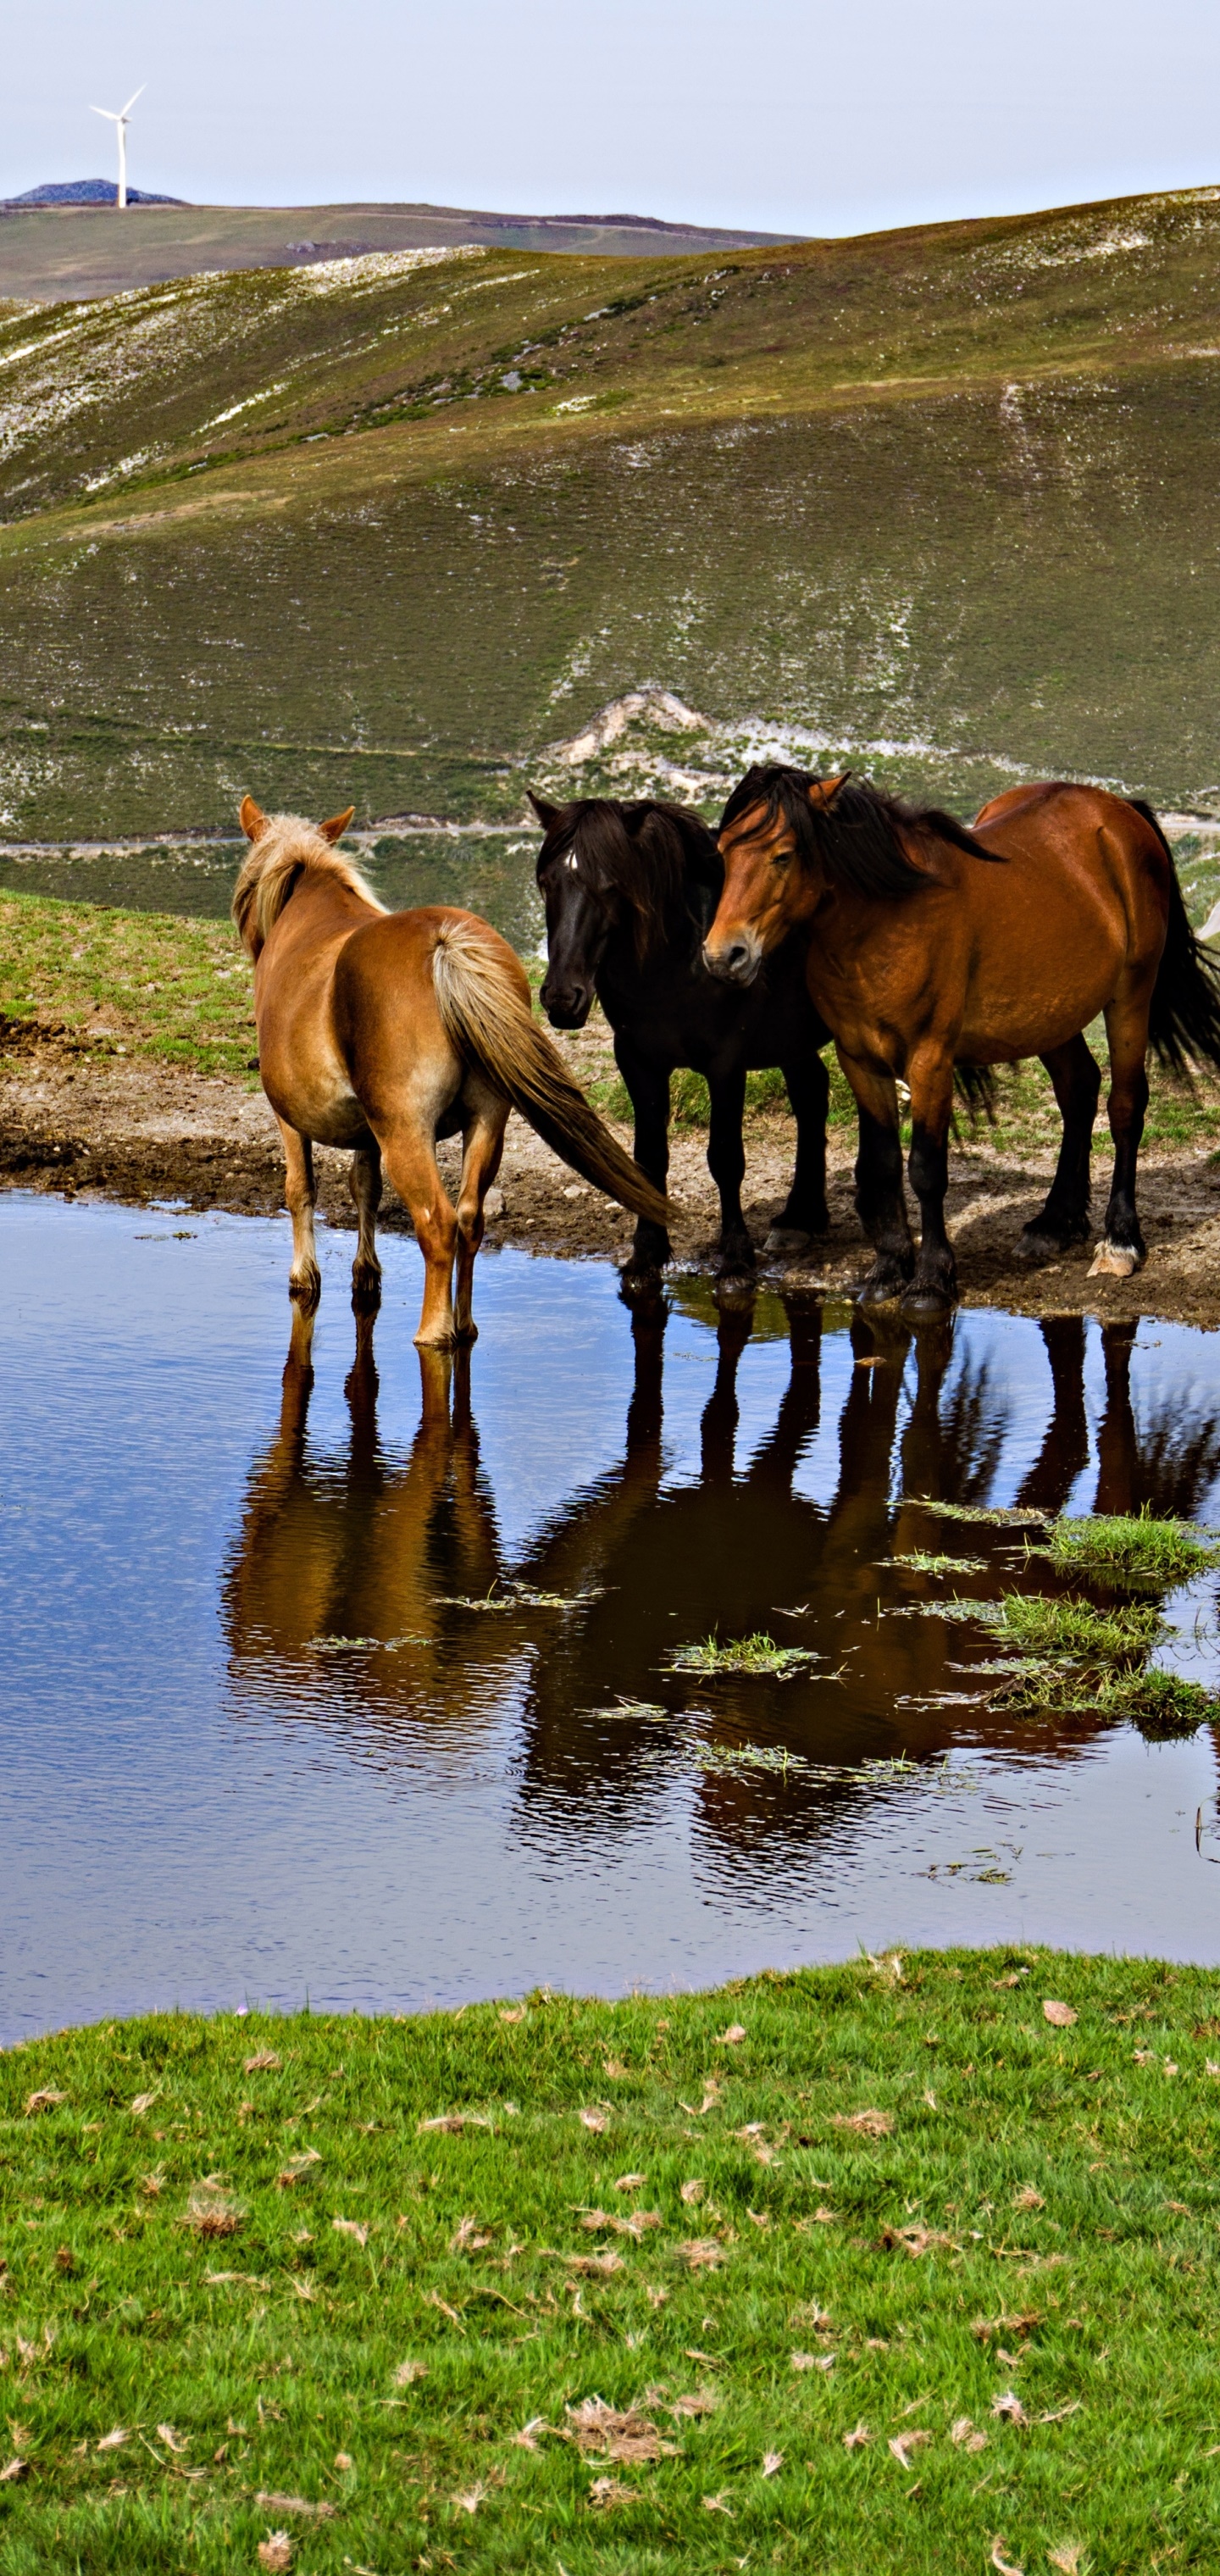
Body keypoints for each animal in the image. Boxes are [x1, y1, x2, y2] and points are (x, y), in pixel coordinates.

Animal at [232, 797, 670, 1346]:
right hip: (486, 1121)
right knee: (469, 1218)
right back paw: (463, 1322)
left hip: (407, 1133)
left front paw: (304, 1277)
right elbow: (365, 1187)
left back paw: (435, 1330)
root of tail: (444, 945)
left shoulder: (291, 1117)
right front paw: (365, 1273)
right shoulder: (367, 1129)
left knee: (438, 1223)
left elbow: (300, 1190)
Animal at [530, 790, 834, 1286]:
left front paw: (735, 1260)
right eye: (545, 882)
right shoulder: (637, 1060)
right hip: (793, 1039)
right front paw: (646, 1253)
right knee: (812, 1094)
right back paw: (800, 1217)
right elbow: (649, 1155)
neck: (680, 957)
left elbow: (726, 1157)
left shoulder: (726, 1062)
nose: (561, 997)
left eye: (611, 885)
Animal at [702, 764, 1220, 1316]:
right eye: (724, 851)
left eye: (783, 854)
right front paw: (888, 1271)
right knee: (1078, 1090)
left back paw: (1120, 1241)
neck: (887, 921)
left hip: (1130, 996)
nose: (723, 956)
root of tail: (1118, 811)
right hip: (1051, 1014)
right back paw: (1054, 1224)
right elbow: (883, 1166)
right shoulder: (860, 1060)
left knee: (1125, 1107)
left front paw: (931, 1279)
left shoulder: (930, 1060)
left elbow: (927, 1169)